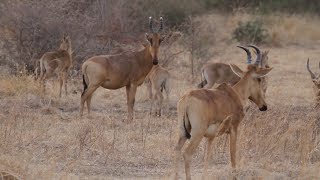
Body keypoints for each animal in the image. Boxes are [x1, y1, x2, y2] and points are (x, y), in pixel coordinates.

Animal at [175, 46, 272, 180]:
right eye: (259, 79)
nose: (264, 106)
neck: (233, 93)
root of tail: (187, 98)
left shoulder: (210, 137)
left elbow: (207, 156)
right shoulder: (234, 128)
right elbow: (232, 154)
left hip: (183, 132)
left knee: (177, 150)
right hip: (197, 133)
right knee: (187, 154)